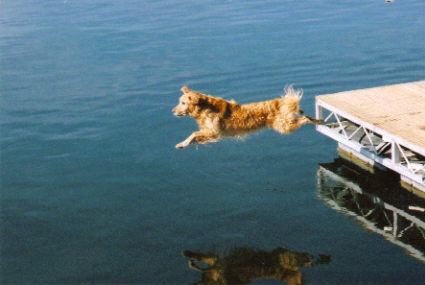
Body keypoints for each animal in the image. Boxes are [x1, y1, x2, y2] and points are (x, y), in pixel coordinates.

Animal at [172, 85, 322, 149]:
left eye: (183, 103)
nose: (173, 111)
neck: (204, 108)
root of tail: (277, 102)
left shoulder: (213, 132)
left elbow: (193, 134)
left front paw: (182, 144)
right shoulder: (209, 132)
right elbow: (196, 136)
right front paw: (186, 143)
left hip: (284, 126)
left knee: (305, 118)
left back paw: (316, 120)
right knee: (306, 117)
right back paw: (318, 120)